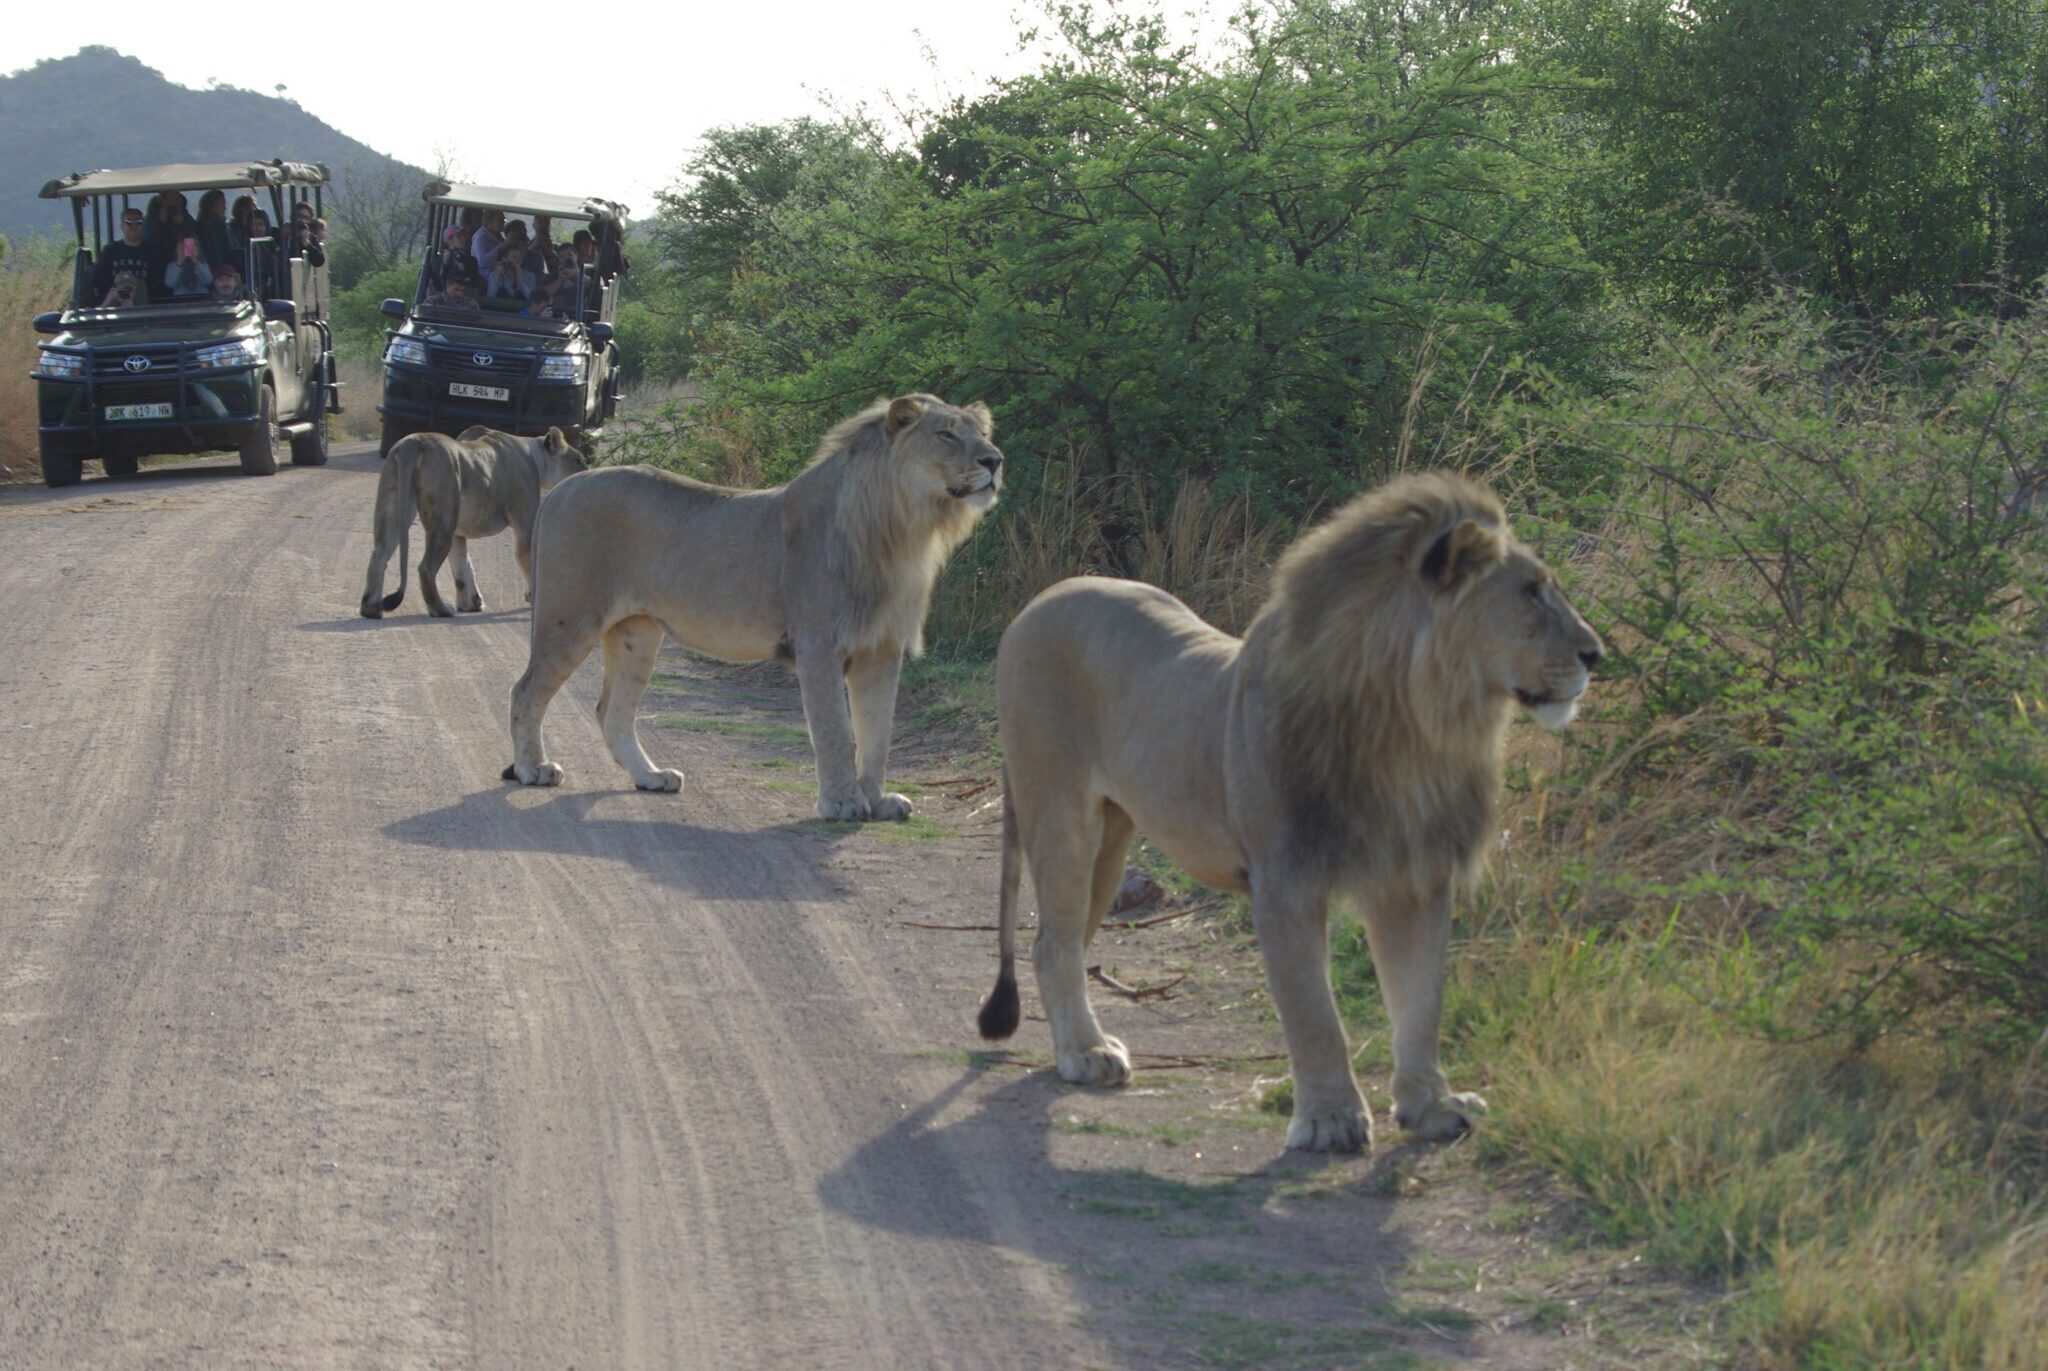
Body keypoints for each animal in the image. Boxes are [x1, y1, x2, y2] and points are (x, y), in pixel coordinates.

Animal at [359, 426, 588, 619]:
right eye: (578, 460)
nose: (588, 470)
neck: (535, 456)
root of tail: (414, 442)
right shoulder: (525, 522)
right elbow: (528, 559)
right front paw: (534, 600)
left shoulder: (458, 532)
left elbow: (462, 564)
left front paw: (471, 604)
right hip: (443, 518)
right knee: (425, 568)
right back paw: (440, 610)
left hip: (394, 505)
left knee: (379, 556)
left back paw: (371, 609)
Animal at [502, 393, 1002, 821]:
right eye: (947, 434)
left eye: (982, 432)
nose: (995, 460)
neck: (903, 530)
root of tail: (562, 489)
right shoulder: (818, 645)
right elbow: (836, 732)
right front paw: (842, 803)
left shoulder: (881, 648)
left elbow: (878, 734)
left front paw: (878, 801)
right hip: (569, 617)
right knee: (525, 691)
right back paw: (533, 770)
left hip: (636, 631)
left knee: (612, 711)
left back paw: (652, 777)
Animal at [976, 471, 1603, 1152]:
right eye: (1531, 592)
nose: (1596, 654)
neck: (1415, 728)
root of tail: (1040, 600)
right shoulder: (1285, 881)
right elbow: (1314, 1012)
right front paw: (1330, 1119)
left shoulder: (1415, 878)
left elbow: (1420, 1002)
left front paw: (1432, 1106)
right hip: (1061, 814)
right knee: (1053, 943)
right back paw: (1085, 1054)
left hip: (1112, 840)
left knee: (1057, 940)